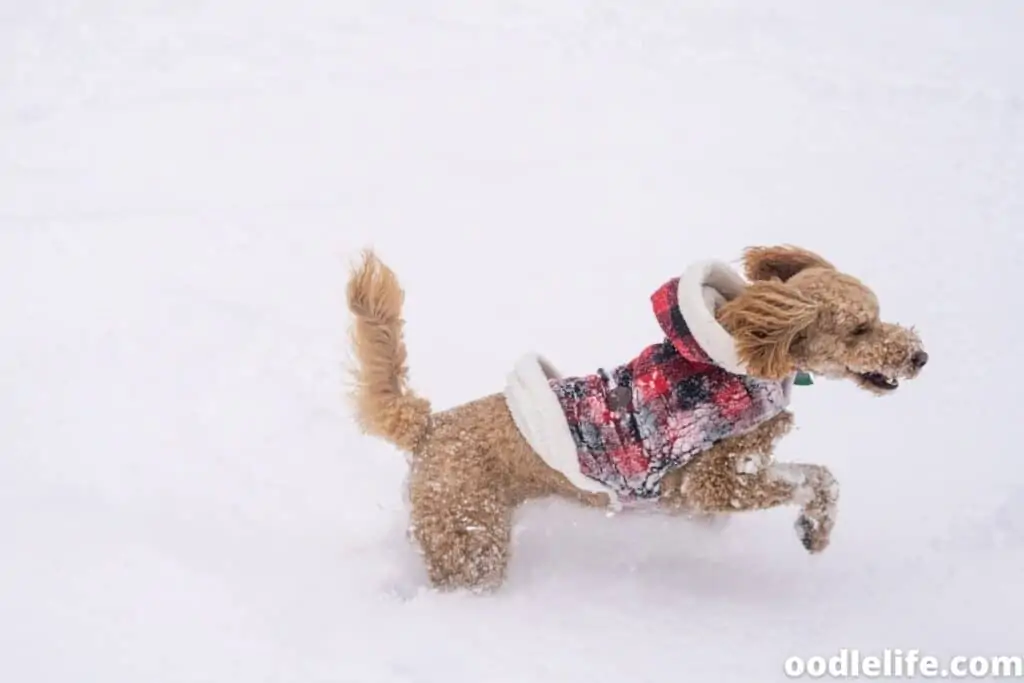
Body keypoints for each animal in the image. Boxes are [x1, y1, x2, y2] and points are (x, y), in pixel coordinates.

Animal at [344, 246, 929, 593]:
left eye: (878, 316)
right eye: (859, 329)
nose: (919, 356)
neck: (738, 361)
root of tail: (429, 426)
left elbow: (816, 477)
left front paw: (814, 530)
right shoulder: (709, 483)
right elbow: (816, 478)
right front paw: (815, 527)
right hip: (470, 538)